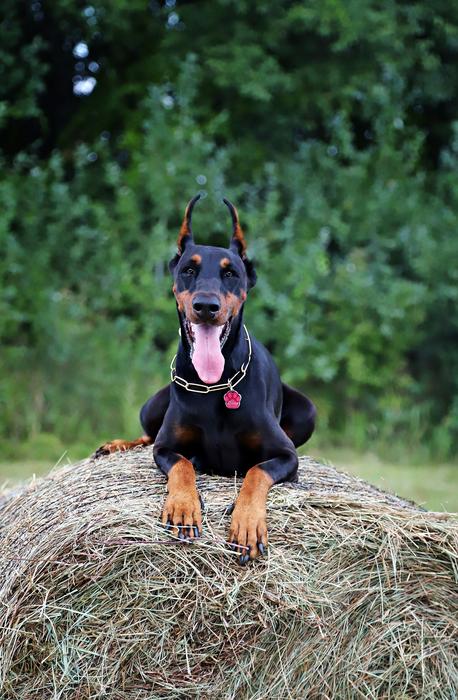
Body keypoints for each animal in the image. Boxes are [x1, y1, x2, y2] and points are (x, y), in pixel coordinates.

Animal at [93, 196, 314, 564]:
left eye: (230, 273)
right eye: (188, 270)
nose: (206, 306)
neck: (215, 386)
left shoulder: (286, 456)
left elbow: (256, 473)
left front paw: (247, 523)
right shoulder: (166, 447)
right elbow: (180, 464)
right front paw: (183, 508)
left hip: (308, 410)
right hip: (151, 405)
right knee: (146, 436)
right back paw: (114, 445)